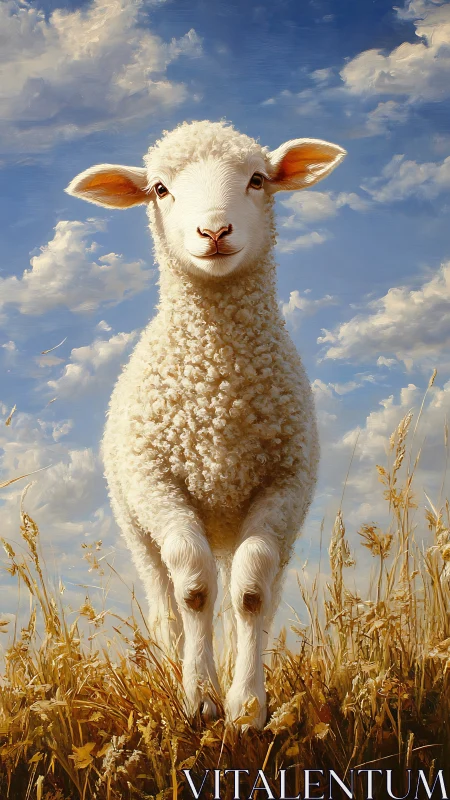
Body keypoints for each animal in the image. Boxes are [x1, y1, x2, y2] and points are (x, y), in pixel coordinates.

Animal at [66, 120, 346, 728]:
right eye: (160, 189)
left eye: (258, 179)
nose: (214, 230)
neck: (217, 396)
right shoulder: (157, 481)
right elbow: (194, 585)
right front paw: (198, 697)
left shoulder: (283, 485)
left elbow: (251, 590)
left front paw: (246, 705)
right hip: (135, 524)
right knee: (165, 600)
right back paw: (173, 661)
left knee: (257, 592)